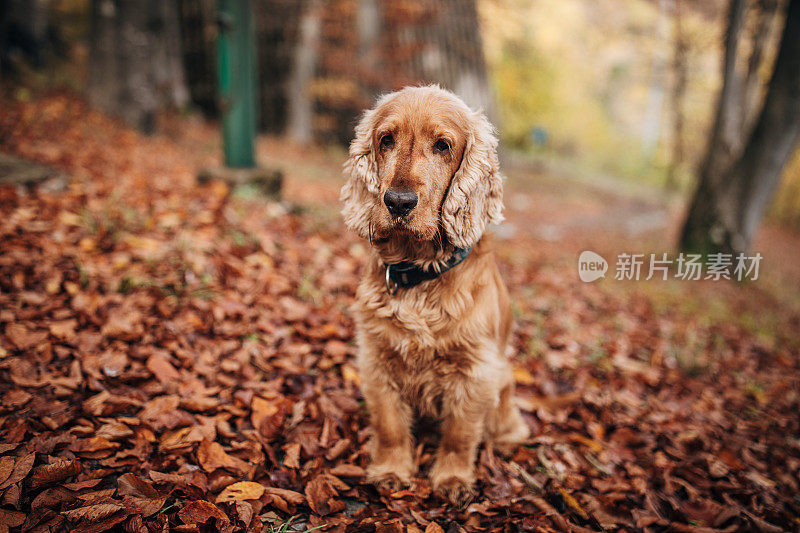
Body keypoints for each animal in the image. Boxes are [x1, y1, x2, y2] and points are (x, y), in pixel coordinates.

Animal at [340, 84, 528, 502]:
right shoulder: (378, 361)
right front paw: (391, 471)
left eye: (442, 145)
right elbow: (390, 426)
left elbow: (460, 434)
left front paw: (453, 480)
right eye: (386, 140)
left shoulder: (475, 372)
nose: (398, 202)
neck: (421, 278)